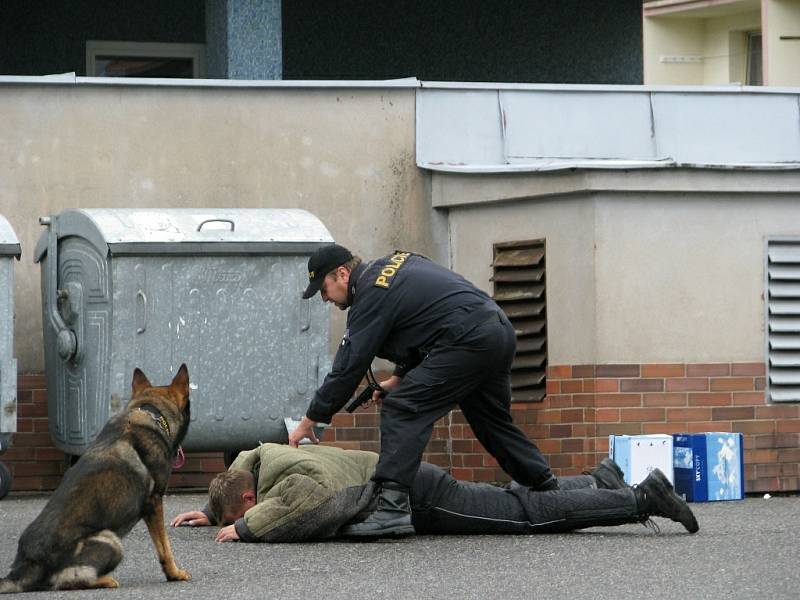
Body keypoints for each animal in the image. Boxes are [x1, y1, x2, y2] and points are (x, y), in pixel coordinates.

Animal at [0, 364, 191, 592]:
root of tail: (27, 564)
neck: (151, 412)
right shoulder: (154, 504)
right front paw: (175, 573)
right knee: (66, 580)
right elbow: (165, 547)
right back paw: (105, 580)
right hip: (111, 539)